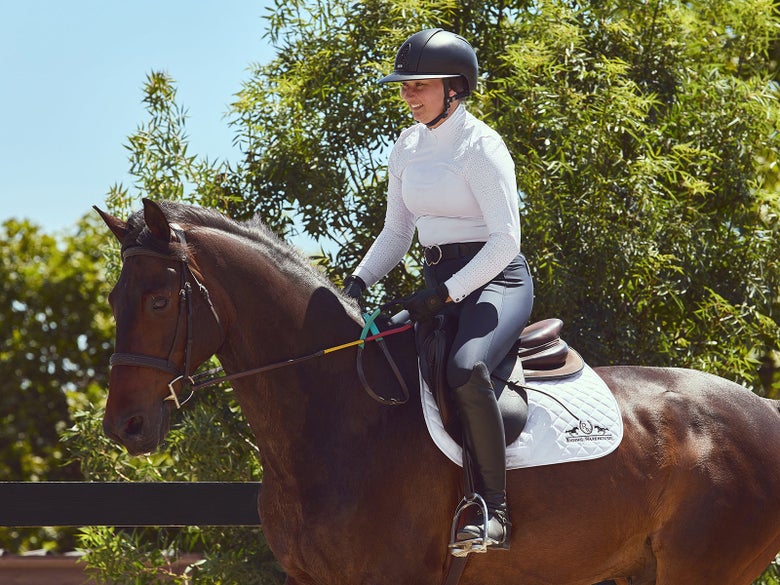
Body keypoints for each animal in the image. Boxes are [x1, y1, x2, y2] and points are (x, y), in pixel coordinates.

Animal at [96, 198, 780, 585]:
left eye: (159, 301)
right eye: (114, 298)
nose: (124, 426)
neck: (342, 415)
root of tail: (762, 411)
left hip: (704, 570)